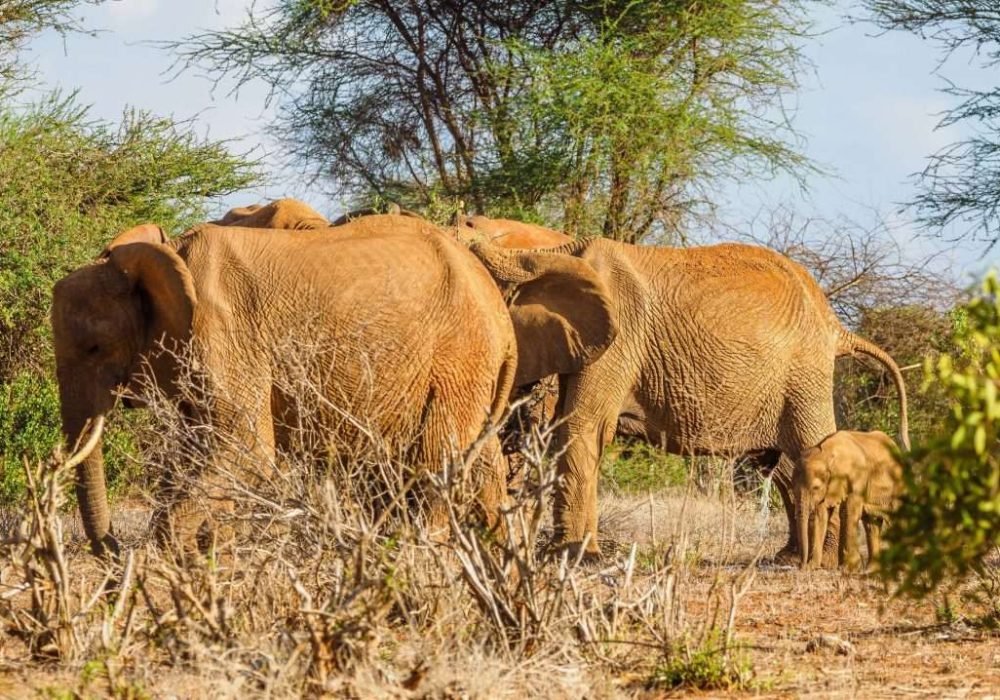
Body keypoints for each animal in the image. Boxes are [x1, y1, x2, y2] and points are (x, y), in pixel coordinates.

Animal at [51, 213, 616, 556]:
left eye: (95, 348)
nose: (110, 549)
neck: (167, 256)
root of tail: (498, 312)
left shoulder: (224, 333)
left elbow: (243, 448)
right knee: (469, 466)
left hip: (457, 359)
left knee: (436, 464)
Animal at [795, 430, 903, 571]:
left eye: (815, 488)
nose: (800, 565)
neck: (825, 454)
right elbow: (821, 515)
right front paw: (812, 567)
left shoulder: (857, 477)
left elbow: (848, 512)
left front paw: (847, 568)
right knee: (871, 524)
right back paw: (871, 569)